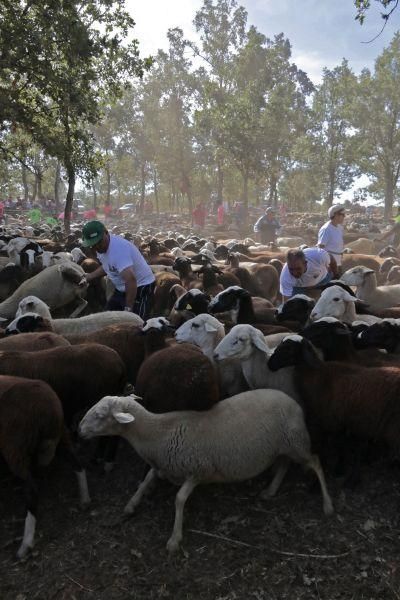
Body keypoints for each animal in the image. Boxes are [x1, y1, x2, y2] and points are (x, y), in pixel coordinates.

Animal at [0, 378, 90, 560]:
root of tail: (50, 409)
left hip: (15, 446)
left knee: (32, 490)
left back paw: (25, 546)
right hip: (62, 437)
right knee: (78, 465)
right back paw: (85, 499)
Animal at [79, 394, 334, 552]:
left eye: (100, 415)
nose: (79, 430)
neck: (158, 433)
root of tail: (294, 402)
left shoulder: (197, 470)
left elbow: (179, 499)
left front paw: (174, 540)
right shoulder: (164, 465)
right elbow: (146, 479)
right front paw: (131, 504)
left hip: (296, 441)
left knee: (316, 461)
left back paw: (328, 505)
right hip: (282, 446)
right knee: (283, 464)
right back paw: (270, 490)